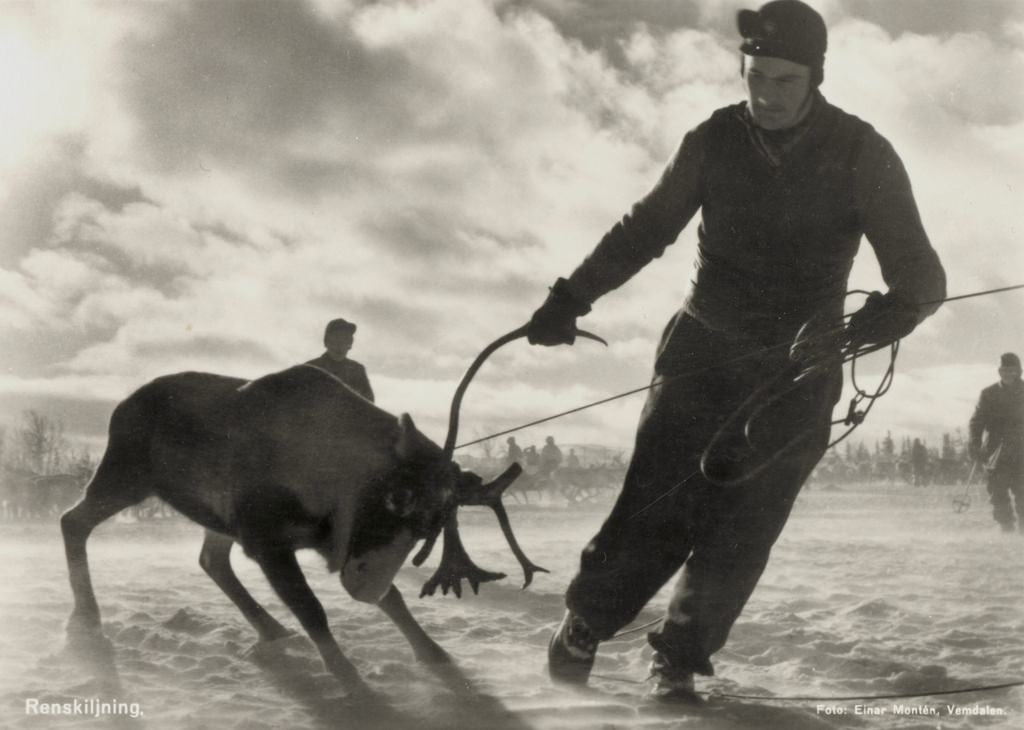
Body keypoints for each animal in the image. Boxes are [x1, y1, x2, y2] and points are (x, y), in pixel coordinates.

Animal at [60, 358, 546, 697]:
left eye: (435, 524)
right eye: (399, 495)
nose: (362, 589)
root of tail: (122, 405)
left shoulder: (336, 544)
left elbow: (393, 597)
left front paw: (432, 651)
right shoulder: (267, 539)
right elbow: (313, 609)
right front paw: (351, 678)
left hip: (215, 517)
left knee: (211, 560)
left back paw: (269, 626)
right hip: (124, 478)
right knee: (72, 522)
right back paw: (85, 614)